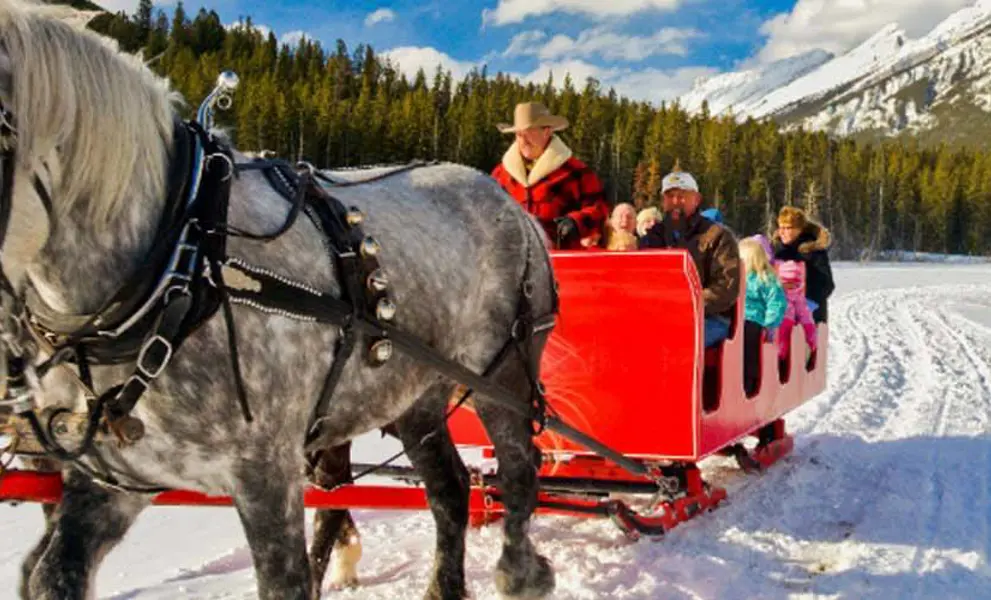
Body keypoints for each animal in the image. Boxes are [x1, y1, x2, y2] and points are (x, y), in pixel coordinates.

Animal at [0, 3, 557, 599]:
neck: (180, 261)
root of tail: (513, 206)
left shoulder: (265, 472)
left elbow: (288, 577)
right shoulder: (115, 480)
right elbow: (49, 574)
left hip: (503, 375)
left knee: (519, 472)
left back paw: (521, 571)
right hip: (416, 396)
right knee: (450, 489)